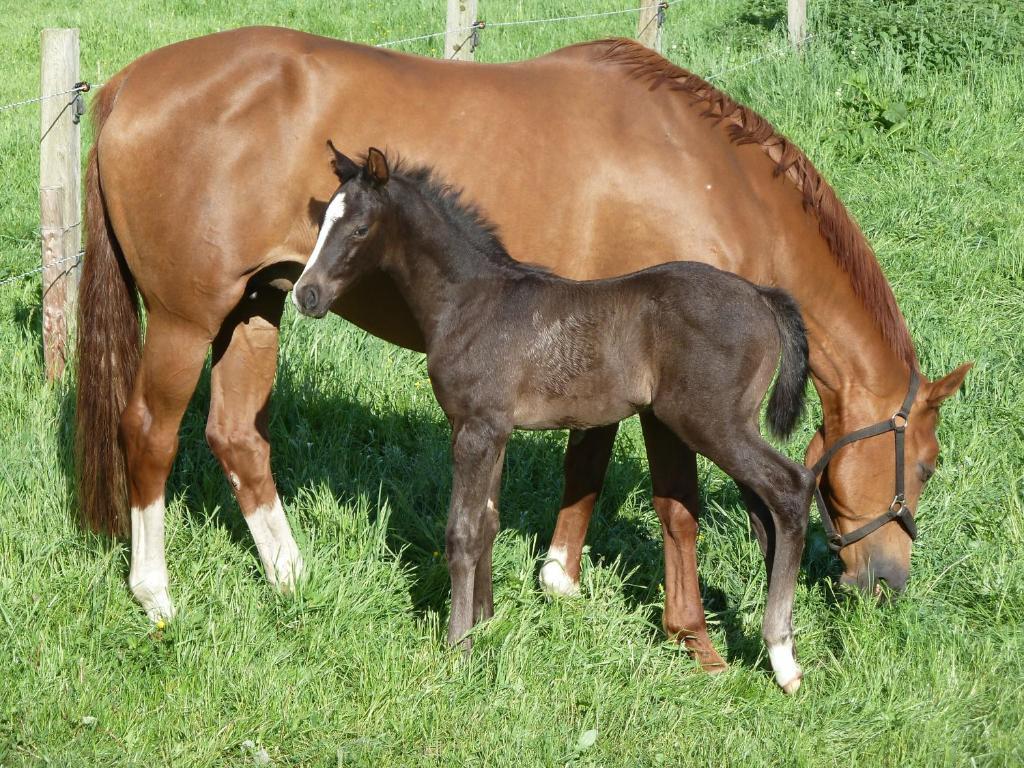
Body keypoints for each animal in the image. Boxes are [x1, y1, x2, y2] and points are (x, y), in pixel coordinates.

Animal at [77, 28, 966, 667]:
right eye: (923, 465)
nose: (887, 585)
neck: (699, 166)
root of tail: (124, 87)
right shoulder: (666, 401)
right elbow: (674, 506)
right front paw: (693, 638)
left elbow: (585, 463)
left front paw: (556, 583)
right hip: (188, 318)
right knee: (150, 434)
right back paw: (156, 597)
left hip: (260, 305)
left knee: (236, 438)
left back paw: (293, 580)